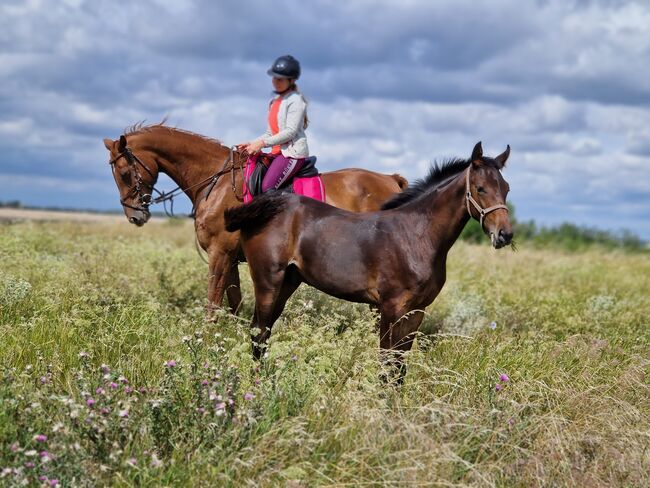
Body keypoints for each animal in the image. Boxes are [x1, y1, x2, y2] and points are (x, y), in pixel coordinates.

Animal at [102, 123, 404, 312]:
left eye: (125, 173)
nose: (135, 216)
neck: (215, 181)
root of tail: (390, 179)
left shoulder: (220, 254)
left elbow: (213, 302)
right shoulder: (232, 258)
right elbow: (234, 303)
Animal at [223, 143, 512, 380]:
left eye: (506, 189)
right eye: (480, 188)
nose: (505, 235)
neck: (416, 234)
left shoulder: (417, 310)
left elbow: (400, 366)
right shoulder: (392, 307)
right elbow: (387, 362)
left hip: (287, 283)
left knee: (264, 331)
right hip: (268, 281)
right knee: (258, 331)